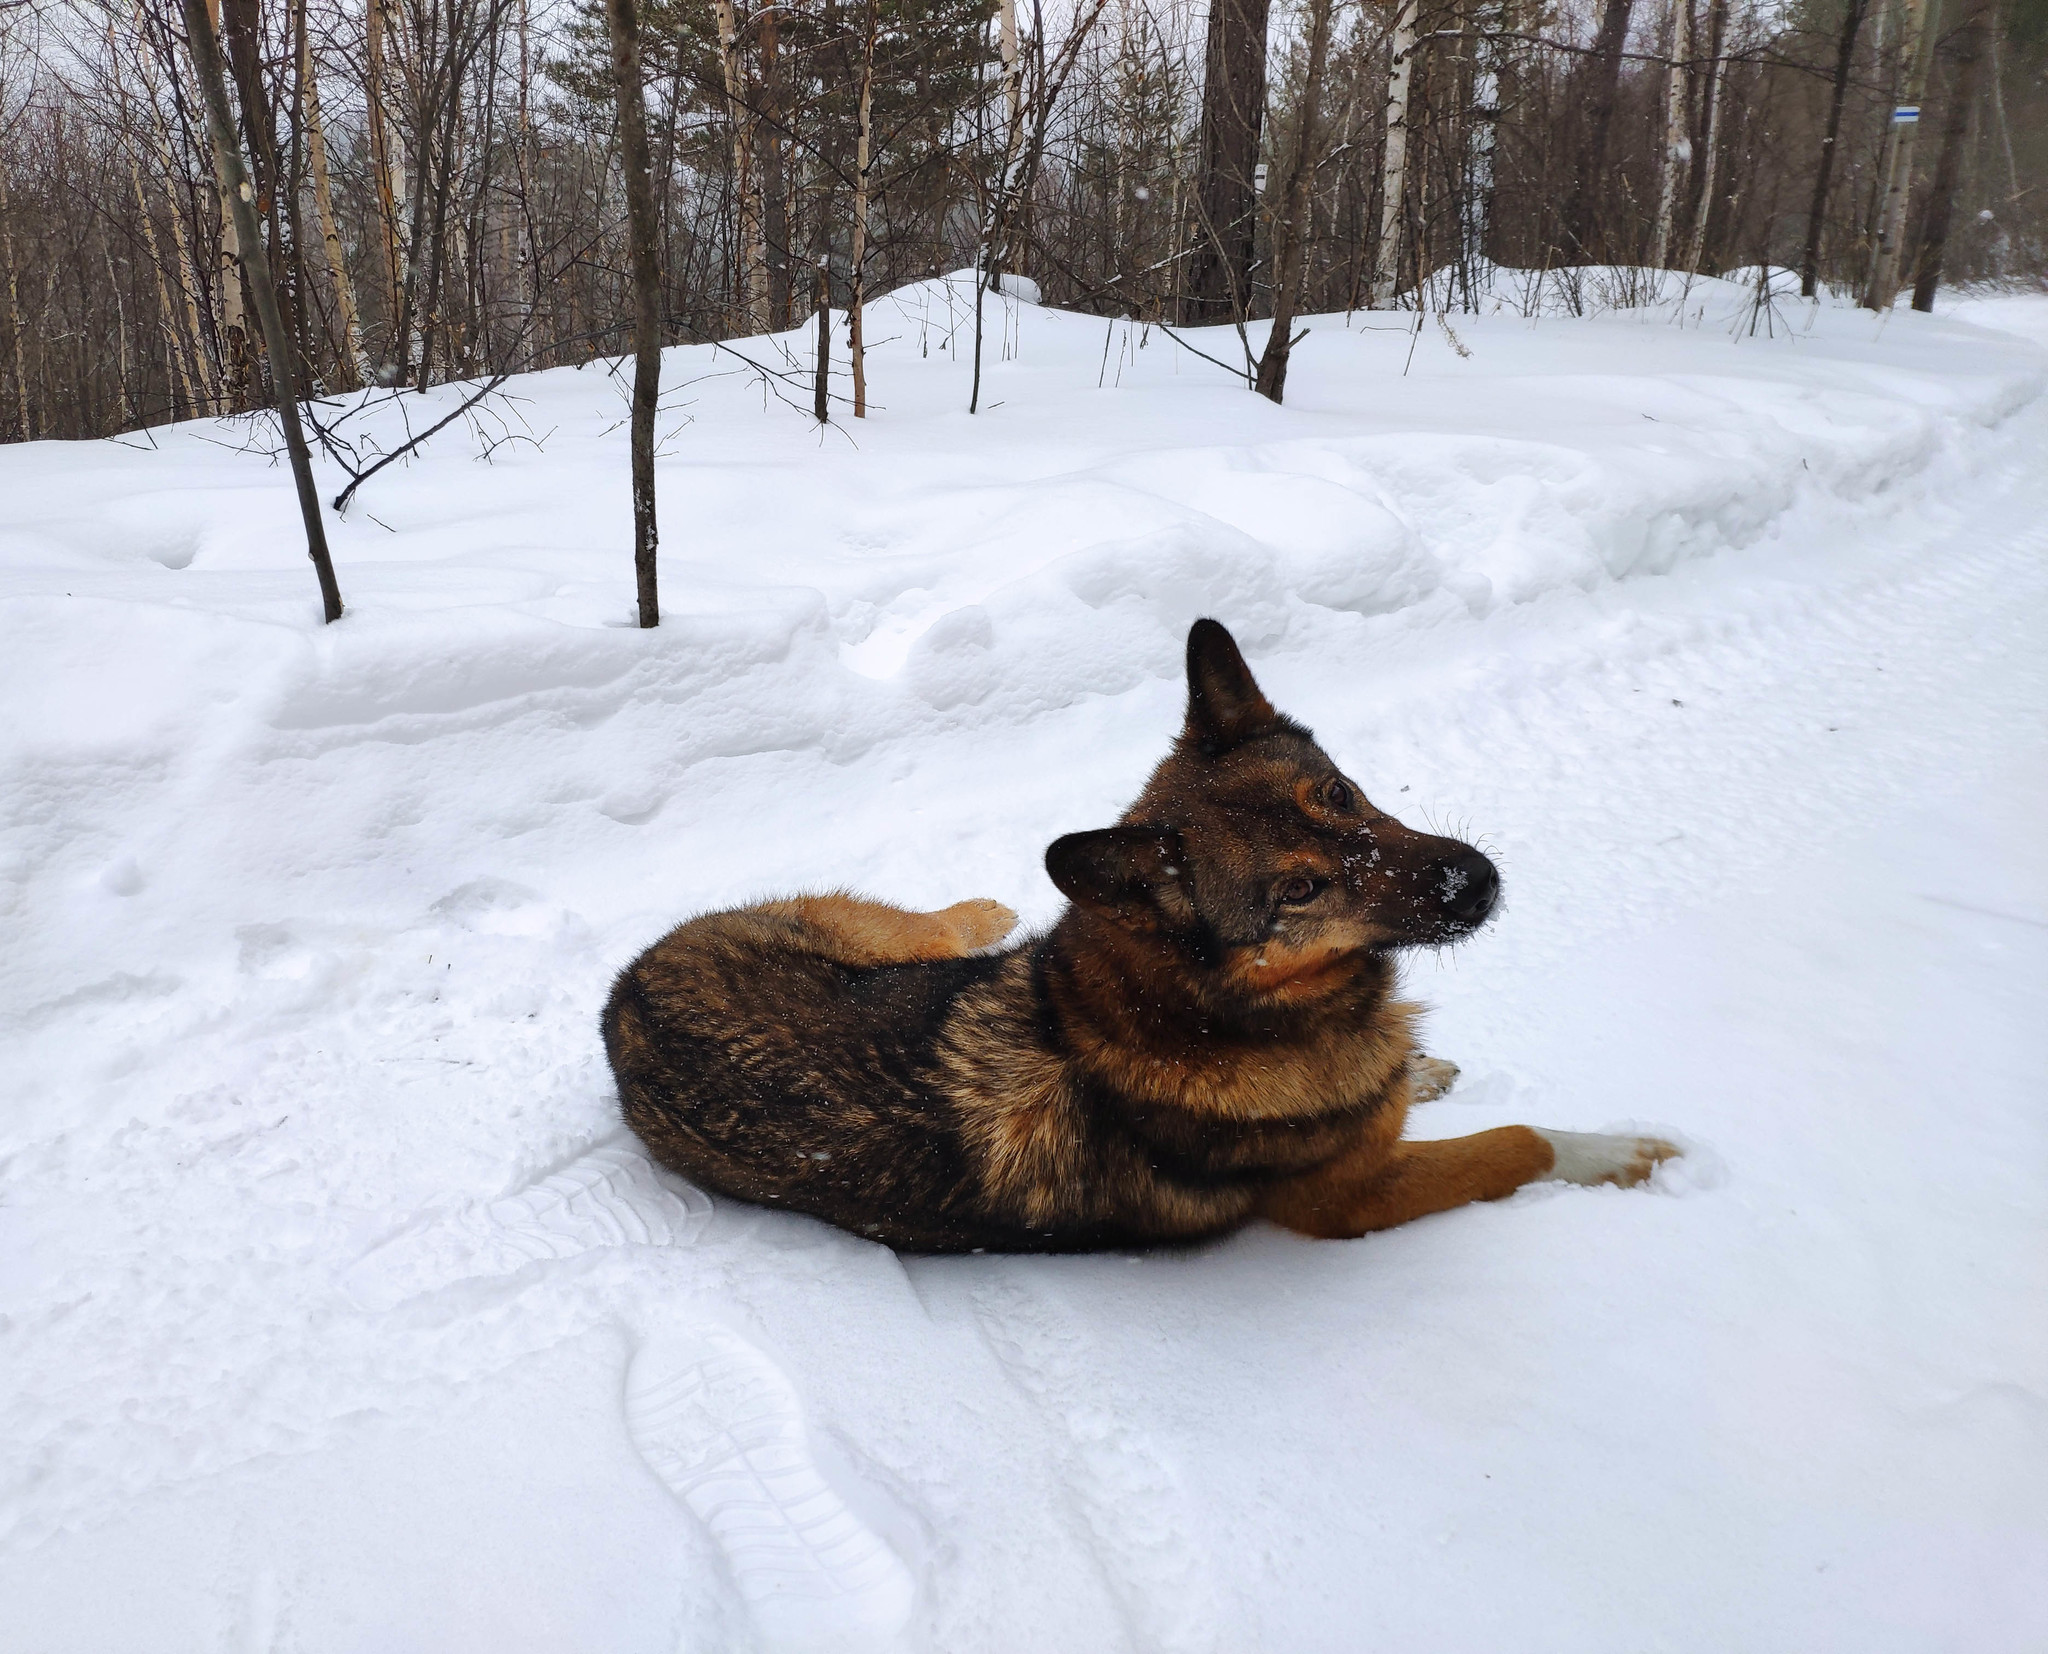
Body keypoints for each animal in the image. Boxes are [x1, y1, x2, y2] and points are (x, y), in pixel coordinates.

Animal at [602, 622, 1679, 1252]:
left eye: (1335, 795)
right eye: (1298, 889)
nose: (1477, 882)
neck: (1226, 1009)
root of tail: (619, 998)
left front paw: (1418, 1067)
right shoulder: (1350, 1200)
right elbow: (1517, 1144)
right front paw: (1622, 1153)